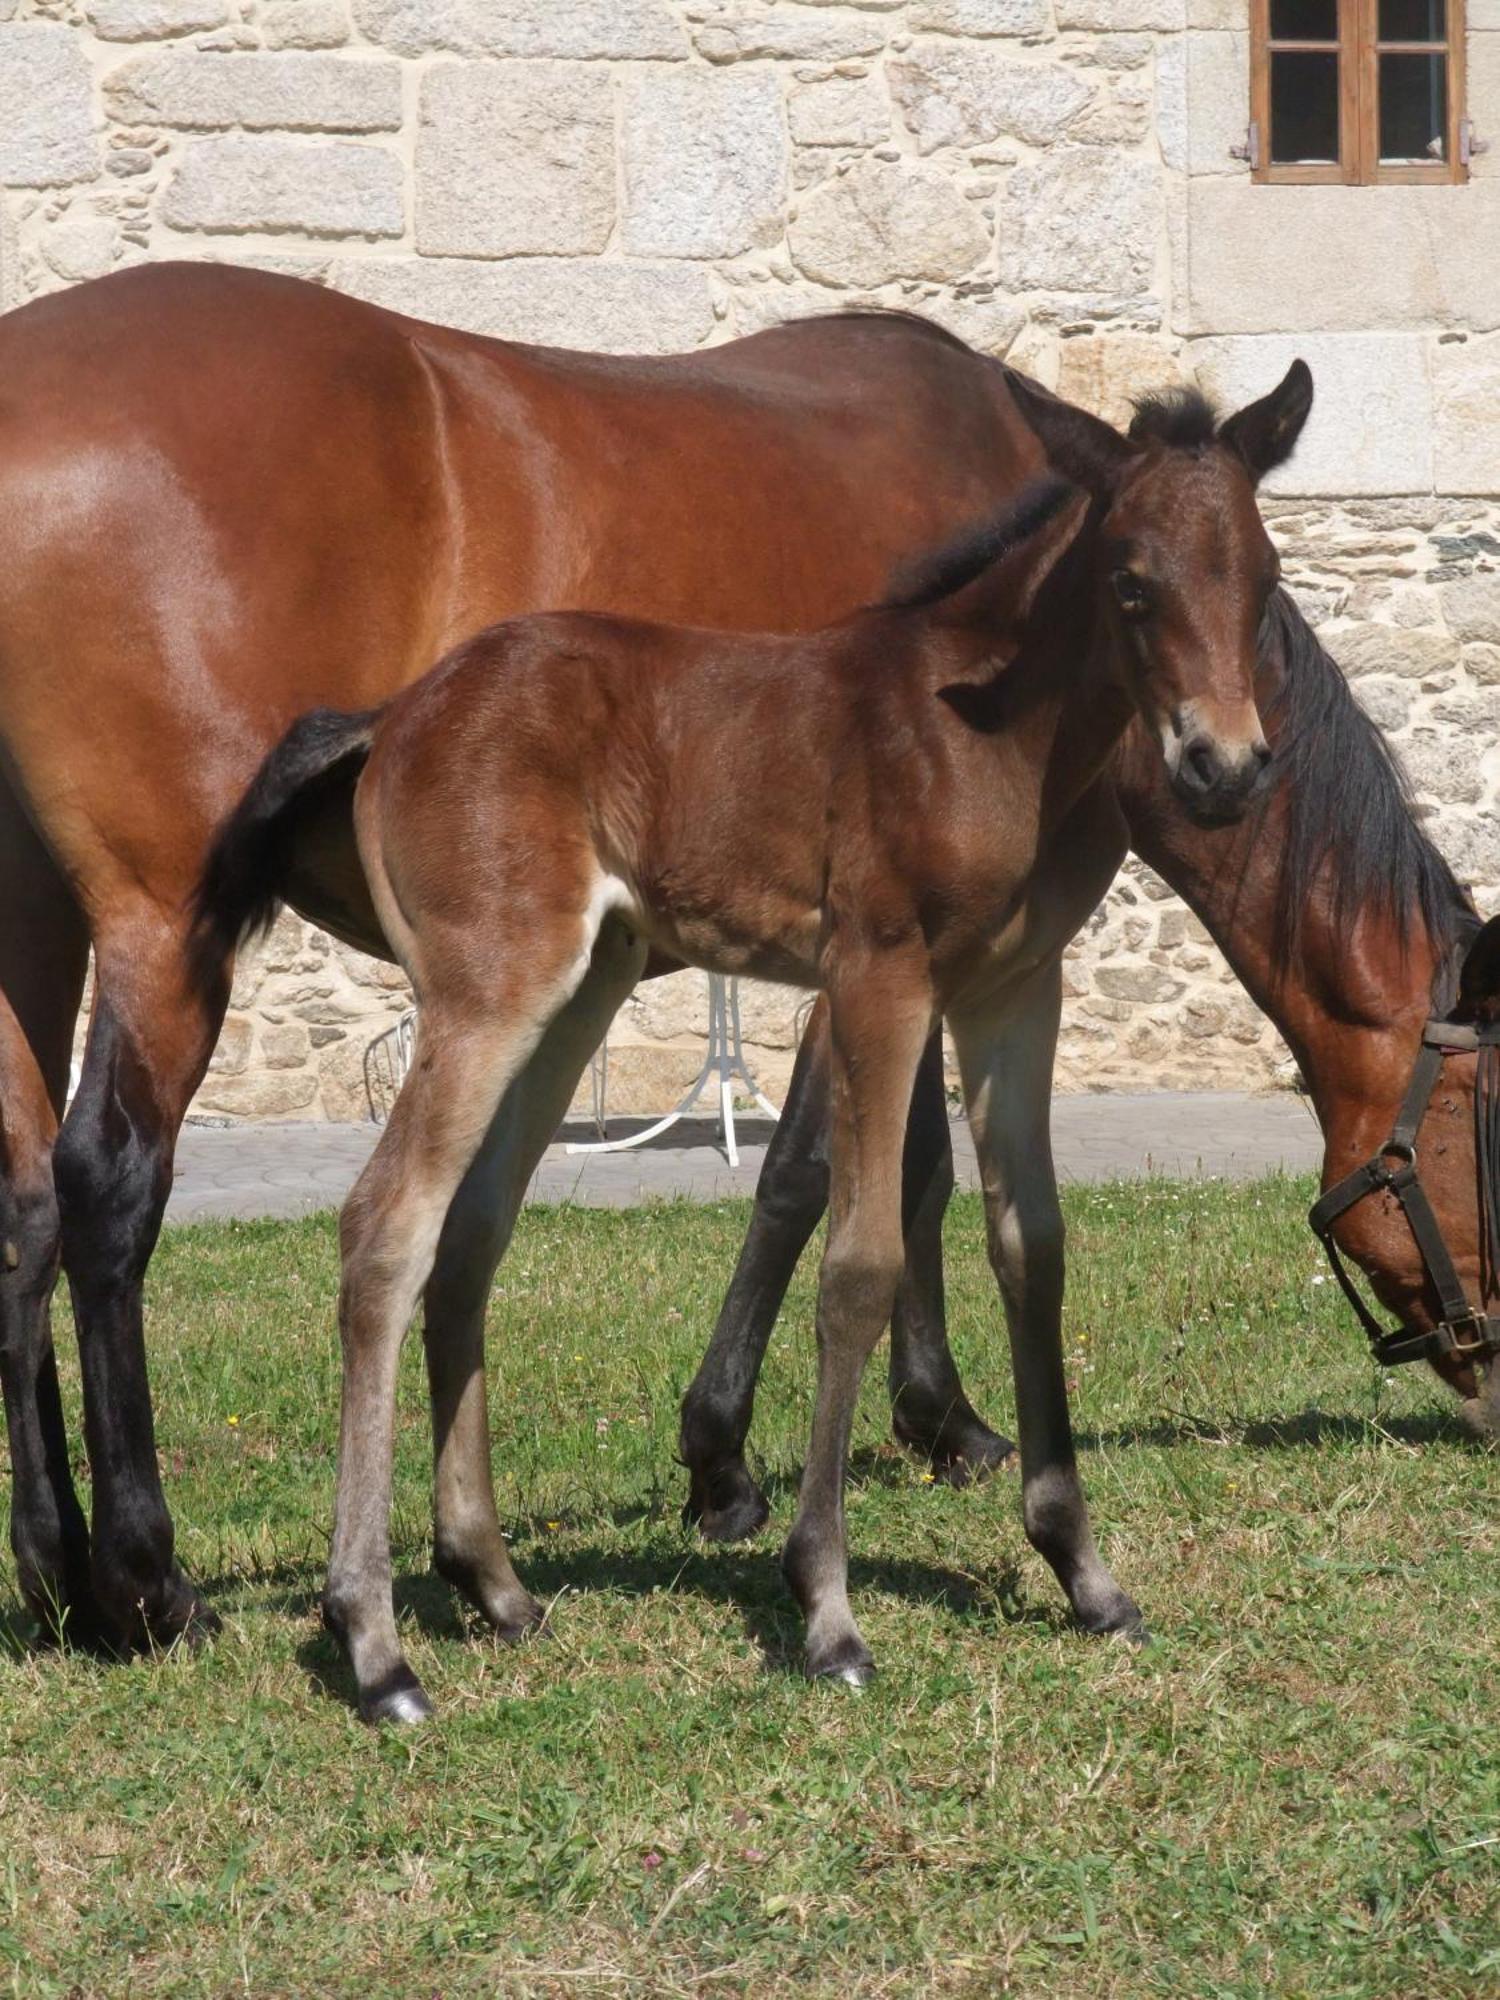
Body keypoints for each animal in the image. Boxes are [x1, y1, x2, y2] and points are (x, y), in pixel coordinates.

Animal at [203, 430, 1296, 1712]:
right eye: (1131, 582)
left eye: (1266, 578)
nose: (1226, 765)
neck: (989, 735)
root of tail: (396, 714)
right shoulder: (878, 976)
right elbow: (859, 1261)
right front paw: (825, 1609)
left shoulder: (1017, 990)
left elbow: (1032, 1245)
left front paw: (1084, 1574)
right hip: (491, 987)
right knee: (387, 1226)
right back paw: (372, 1641)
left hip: (584, 985)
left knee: (472, 1236)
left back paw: (494, 1583)